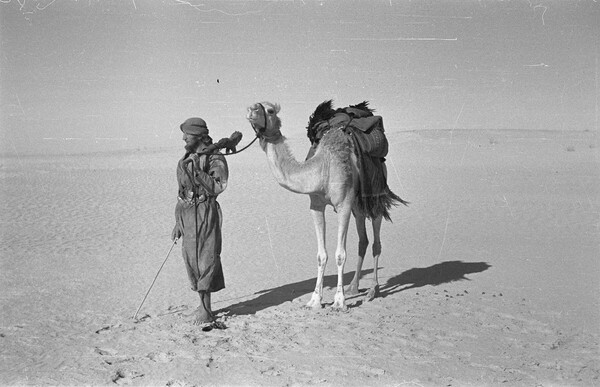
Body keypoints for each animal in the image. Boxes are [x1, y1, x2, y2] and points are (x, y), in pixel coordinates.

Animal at [245, 101, 408, 310]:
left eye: (270, 110)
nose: (252, 109)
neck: (323, 168)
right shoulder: (316, 205)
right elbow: (321, 255)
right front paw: (315, 300)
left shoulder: (343, 204)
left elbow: (340, 254)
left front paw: (339, 302)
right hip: (357, 206)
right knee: (362, 240)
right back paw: (353, 287)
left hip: (374, 196)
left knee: (376, 241)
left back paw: (372, 290)